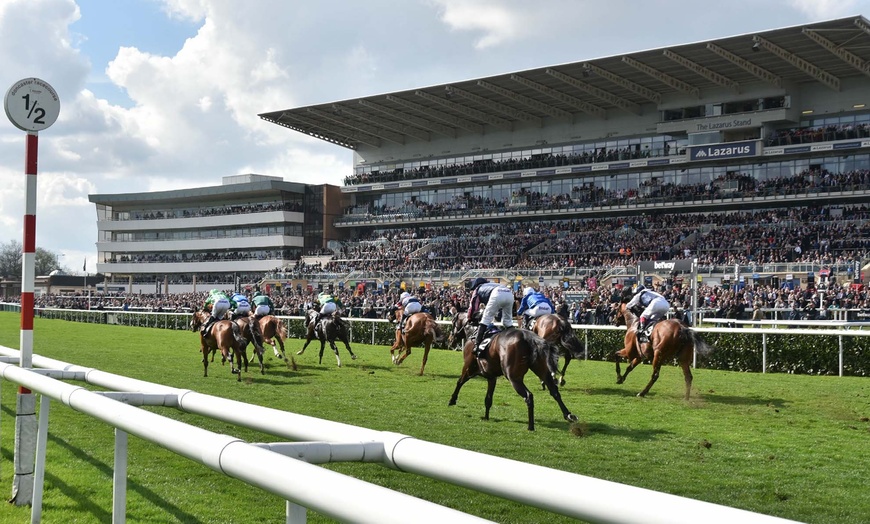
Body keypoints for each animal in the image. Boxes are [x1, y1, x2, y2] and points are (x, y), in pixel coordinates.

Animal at [450, 328, 580, 430]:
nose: (451, 341)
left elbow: (459, 382)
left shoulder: (468, 369)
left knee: (528, 396)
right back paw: (569, 415)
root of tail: (529, 337)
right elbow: (488, 399)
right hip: (542, 371)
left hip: (514, 378)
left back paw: (531, 426)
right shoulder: (491, 378)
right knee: (554, 391)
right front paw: (486, 417)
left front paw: (452, 400)